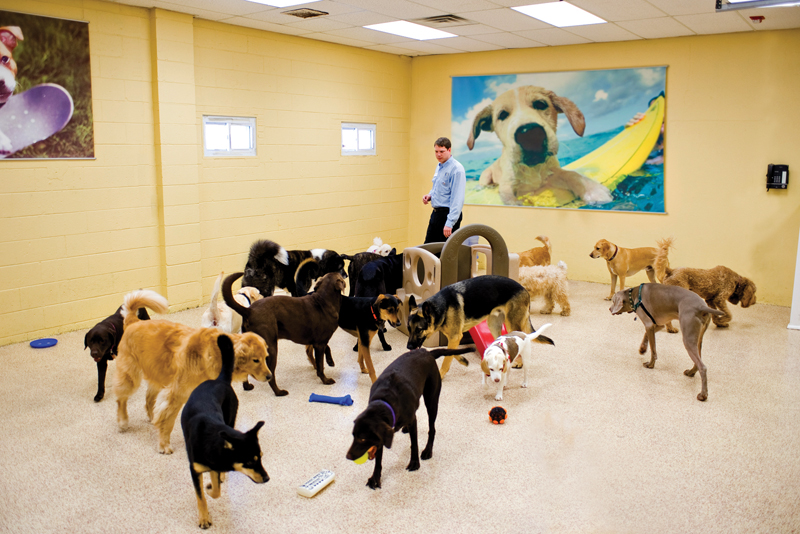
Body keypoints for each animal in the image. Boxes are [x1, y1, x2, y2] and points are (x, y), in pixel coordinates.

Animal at [114, 292, 272, 454]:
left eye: (265, 357)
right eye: (255, 360)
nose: (269, 376)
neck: (216, 353)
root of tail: (134, 321)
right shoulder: (176, 394)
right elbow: (168, 421)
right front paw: (164, 444)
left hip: (159, 375)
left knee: (148, 398)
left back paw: (152, 418)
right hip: (130, 376)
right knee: (121, 400)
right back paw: (123, 421)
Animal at [180, 338, 268, 528]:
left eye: (261, 457)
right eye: (250, 462)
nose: (267, 479)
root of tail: (219, 380)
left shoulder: (215, 466)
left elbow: (216, 492)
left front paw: (212, 488)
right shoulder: (195, 469)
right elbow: (201, 497)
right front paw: (204, 518)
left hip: (231, 415)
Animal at [346, 348, 472, 490]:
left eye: (362, 439)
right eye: (353, 435)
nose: (348, 456)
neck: (385, 400)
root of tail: (426, 352)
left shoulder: (412, 421)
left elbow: (414, 444)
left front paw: (414, 462)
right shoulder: (381, 435)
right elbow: (378, 459)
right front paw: (375, 477)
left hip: (432, 401)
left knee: (432, 429)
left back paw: (428, 450)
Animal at [410, 278, 552, 378]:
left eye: (419, 329)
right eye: (409, 329)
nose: (409, 347)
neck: (440, 306)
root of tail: (524, 289)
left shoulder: (455, 337)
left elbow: (446, 360)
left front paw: (440, 375)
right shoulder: (454, 338)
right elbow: (449, 352)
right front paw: (463, 360)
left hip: (511, 324)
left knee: (521, 338)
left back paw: (519, 362)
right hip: (493, 325)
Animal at [466, 87, 608, 206]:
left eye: (540, 104)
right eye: (502, 115)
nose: (529, 133)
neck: (532, 169)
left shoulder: (552, 174)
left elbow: (570, 174)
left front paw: (592, 189)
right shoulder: (507, 187)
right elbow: (512, 201)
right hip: (486, 175)